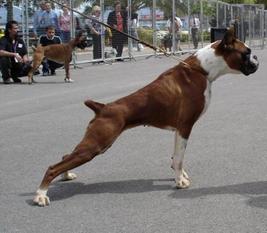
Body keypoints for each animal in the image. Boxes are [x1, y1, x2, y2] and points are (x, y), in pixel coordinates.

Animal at [33, 27, 260, 206]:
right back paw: (41, 194)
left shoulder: (179, 129)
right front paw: (180, 182)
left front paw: (179, 174)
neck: (201, 69)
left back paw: (66, 175)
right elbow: (179, 158)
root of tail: (102, 107)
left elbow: (177, 157)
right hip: (97, 144)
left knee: (65, 157)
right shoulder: (185, 126)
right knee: (53, 167)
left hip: (96, 143)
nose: (257, 59)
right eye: (246, 53)